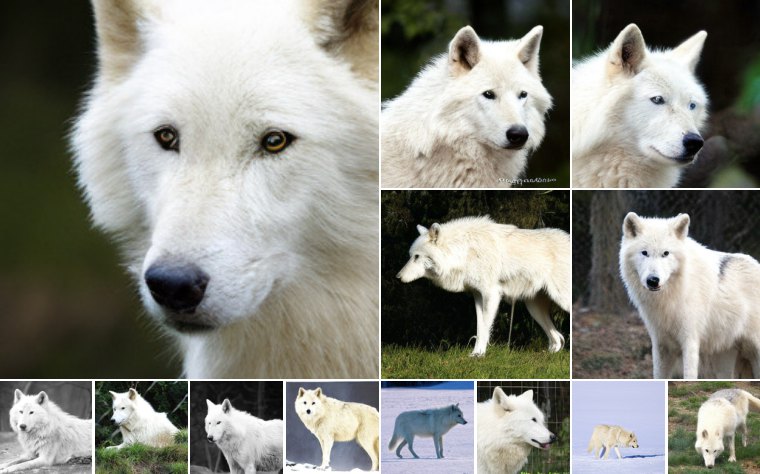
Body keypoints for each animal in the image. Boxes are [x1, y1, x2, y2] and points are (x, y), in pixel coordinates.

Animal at [396, 216, 569, 356]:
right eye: (411, 256)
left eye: (417, 257)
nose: (398, 277)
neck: (464, 251)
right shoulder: (478, 296)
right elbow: (480, 328)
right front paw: (476, 354)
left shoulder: (491, 294)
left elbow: (485, 328)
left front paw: (479, 355)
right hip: (533, 308)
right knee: (557, 338)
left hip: (559, 300)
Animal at [620, 212, 760, 379]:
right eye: (644, 252)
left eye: (665, 253)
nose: (653, 280)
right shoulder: (661, 343)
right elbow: (658, 375)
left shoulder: (690, 340)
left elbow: (689, 375)